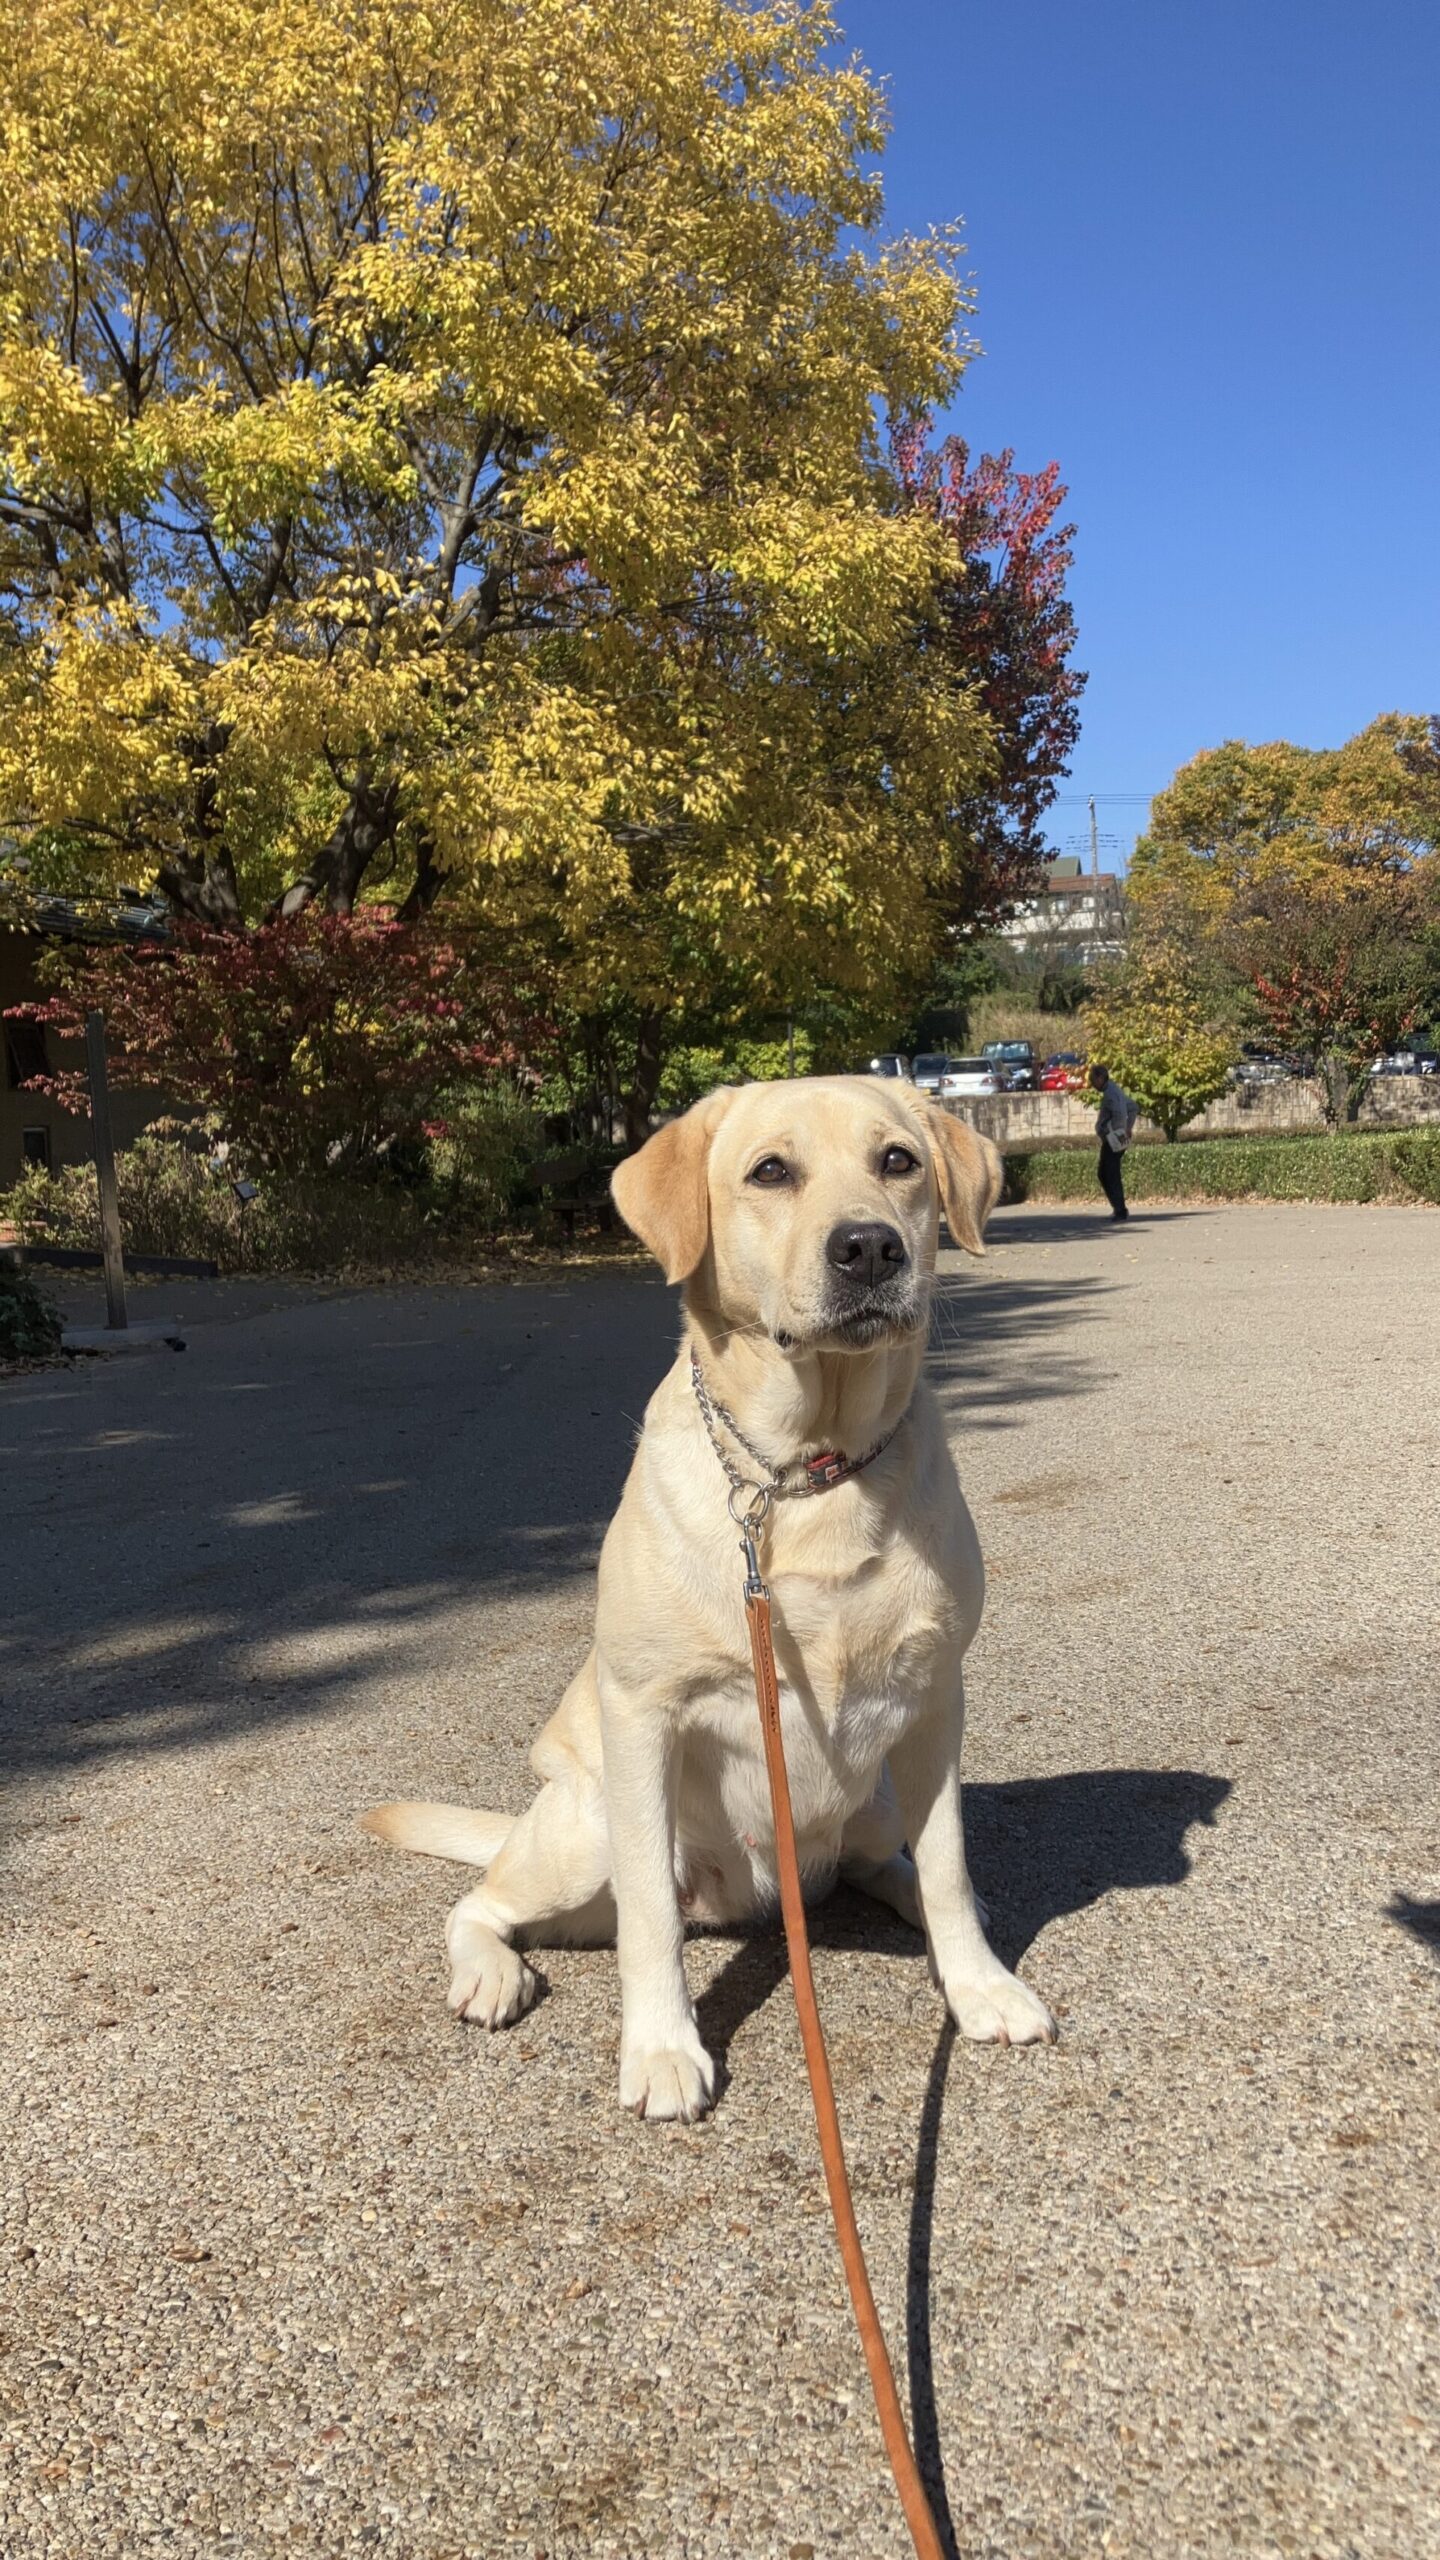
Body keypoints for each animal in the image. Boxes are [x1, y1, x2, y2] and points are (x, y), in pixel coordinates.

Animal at [363, 1070, 1050, 2109]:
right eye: (770, 1172)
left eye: (898, 1161)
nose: (870, 1247)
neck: (809, 1475)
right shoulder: (646, 1714)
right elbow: (651, 1916)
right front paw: (660, 2048)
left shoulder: (936, 1701)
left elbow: (948, 1869)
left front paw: (977, 1984)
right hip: (586, 1829)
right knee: (482, 1902)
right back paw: (490, 1974)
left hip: (875, 1801)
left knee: (885, 1866)